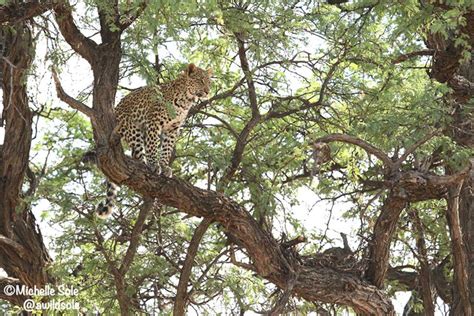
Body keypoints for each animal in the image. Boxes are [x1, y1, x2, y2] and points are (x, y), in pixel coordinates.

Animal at [97, 63, 212, 218]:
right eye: (200, 80)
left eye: (209, 82)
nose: (207, 91)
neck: (186, 100)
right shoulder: (154, 122)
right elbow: (152, 146)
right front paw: (154, 165)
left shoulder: (172, 129)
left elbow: (166, 149)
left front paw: (164, 166)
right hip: (132, 128)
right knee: (137, 154)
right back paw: (143, 166)